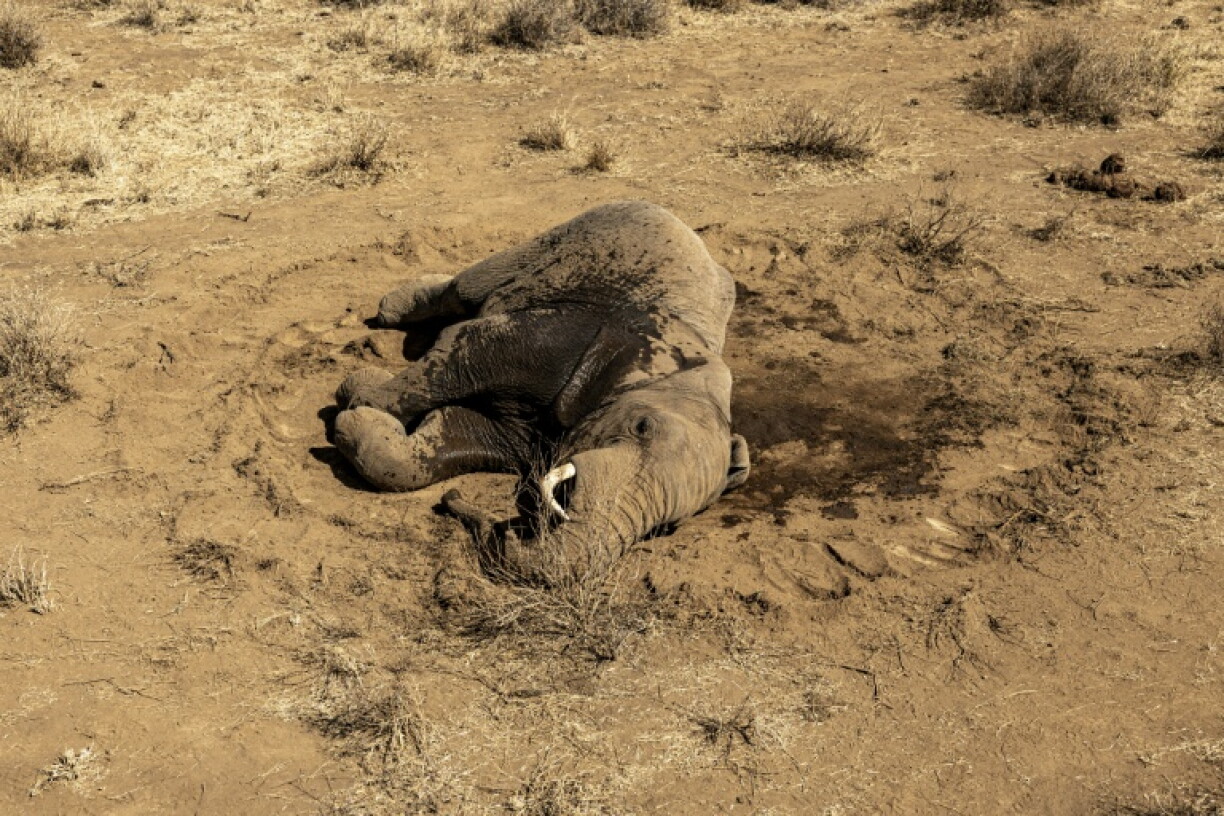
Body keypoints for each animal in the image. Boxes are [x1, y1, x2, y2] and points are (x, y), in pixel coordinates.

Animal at [331, 201, 749, 583]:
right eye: (641, 427)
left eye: (668, 528)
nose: (451, 499)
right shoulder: (573, 336)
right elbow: (463, 346)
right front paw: (357, 394)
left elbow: (454, 435)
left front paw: (364, 420)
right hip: (563, 236)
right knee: (463, 290)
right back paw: (392, 307)